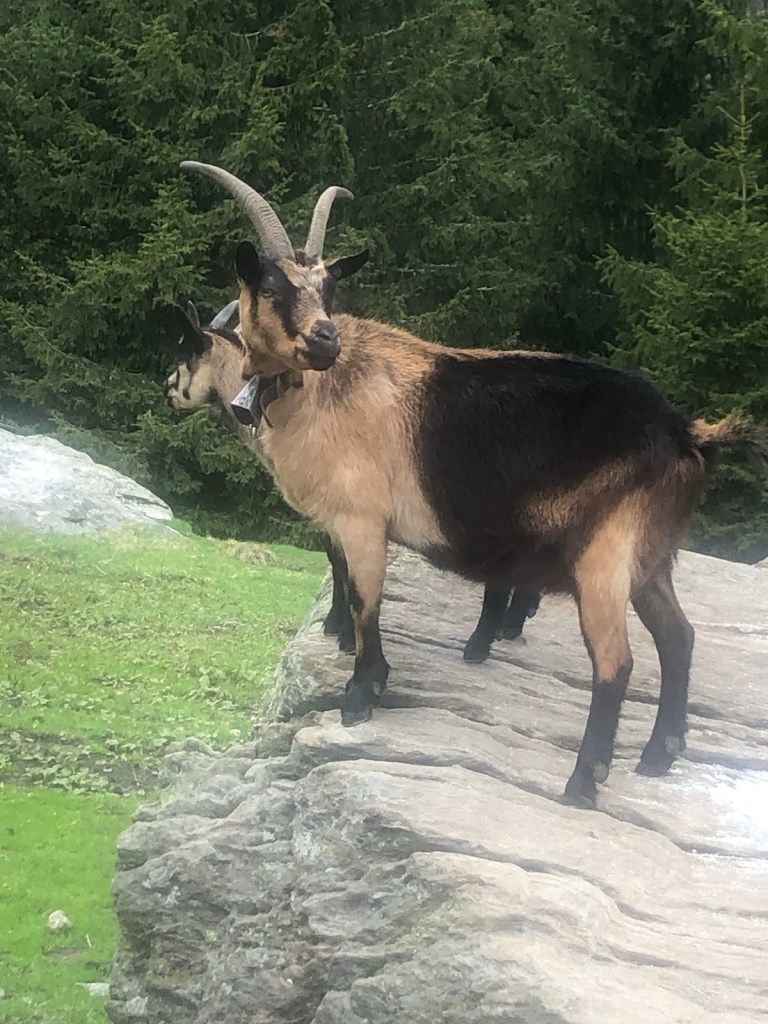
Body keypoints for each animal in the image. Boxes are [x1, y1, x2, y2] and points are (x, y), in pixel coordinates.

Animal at [179, 161, 759, 806]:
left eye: (329, 290)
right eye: (273, 287)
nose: (327, 339)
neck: (329, 391)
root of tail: (687, 434)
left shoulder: (360, 520)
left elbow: (364, 602)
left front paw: (360, 696)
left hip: (606, 554)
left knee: (616, 663)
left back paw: (583, 782)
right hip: (651, 557)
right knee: (678, 638)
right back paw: (659, 757)